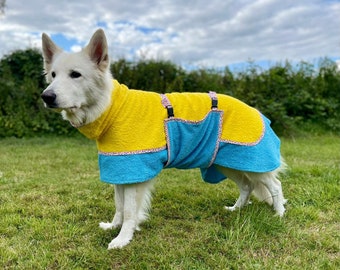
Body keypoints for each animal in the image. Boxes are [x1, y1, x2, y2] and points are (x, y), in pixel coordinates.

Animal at [41, 29, 286, 249]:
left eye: (75, 74)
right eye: (53, 75)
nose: (46, 96)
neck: (112, 107)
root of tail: (257, 112)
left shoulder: (134, 172)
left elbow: (129, 211)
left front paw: (122, 239)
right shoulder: (121, 169)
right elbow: (119, 206)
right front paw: (114, 226)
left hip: (251, 163)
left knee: (275, 185)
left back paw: (279, 213)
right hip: (227, 162)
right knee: (246, 186)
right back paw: (236, 209)